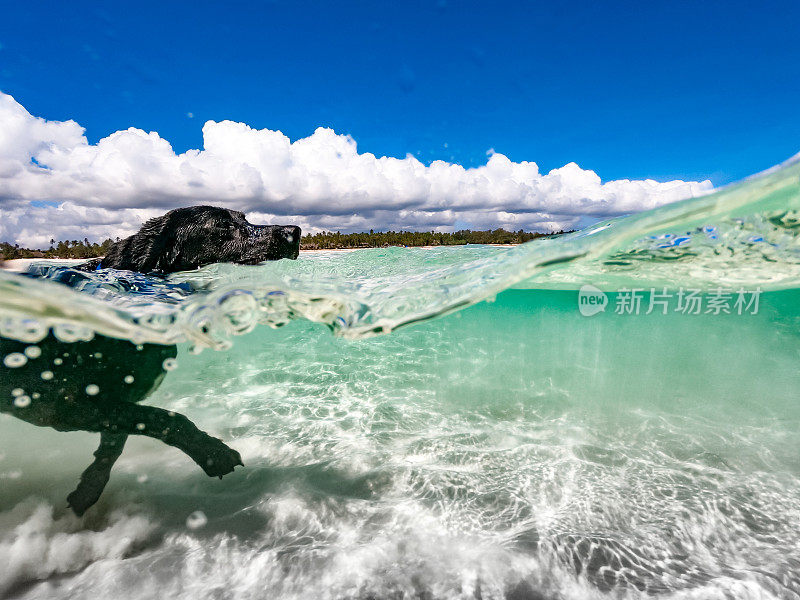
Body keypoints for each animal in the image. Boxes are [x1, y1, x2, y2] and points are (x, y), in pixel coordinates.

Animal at [0, 207, 300, 516]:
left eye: (245, 218)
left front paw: (89, 487)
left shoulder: (116, 404)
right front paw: (211, 453)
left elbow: (116, 442)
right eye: (221, 226)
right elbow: (165, 418)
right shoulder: (60, 407)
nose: (295, 232)